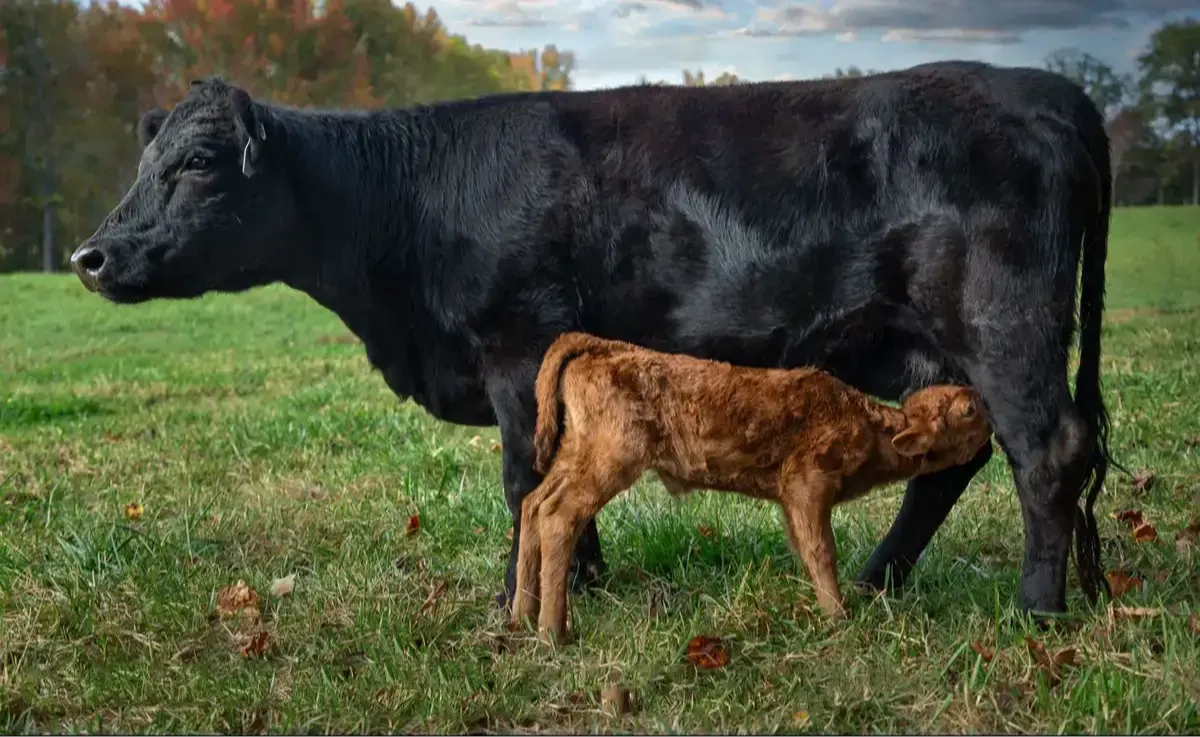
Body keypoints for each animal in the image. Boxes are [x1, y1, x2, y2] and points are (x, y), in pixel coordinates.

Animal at [69, 61, 1117, 617]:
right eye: (146, 159)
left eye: (200, 162)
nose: (90, 254)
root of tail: (1047, 87)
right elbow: (555, 473)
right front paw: (584, 580)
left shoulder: (517, 347)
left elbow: (521, 475)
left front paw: (514, 600)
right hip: (929, 347)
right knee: (957, 458)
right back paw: (876, 582)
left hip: (1006, 322)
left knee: (1048, 449)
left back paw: (1036, 609)